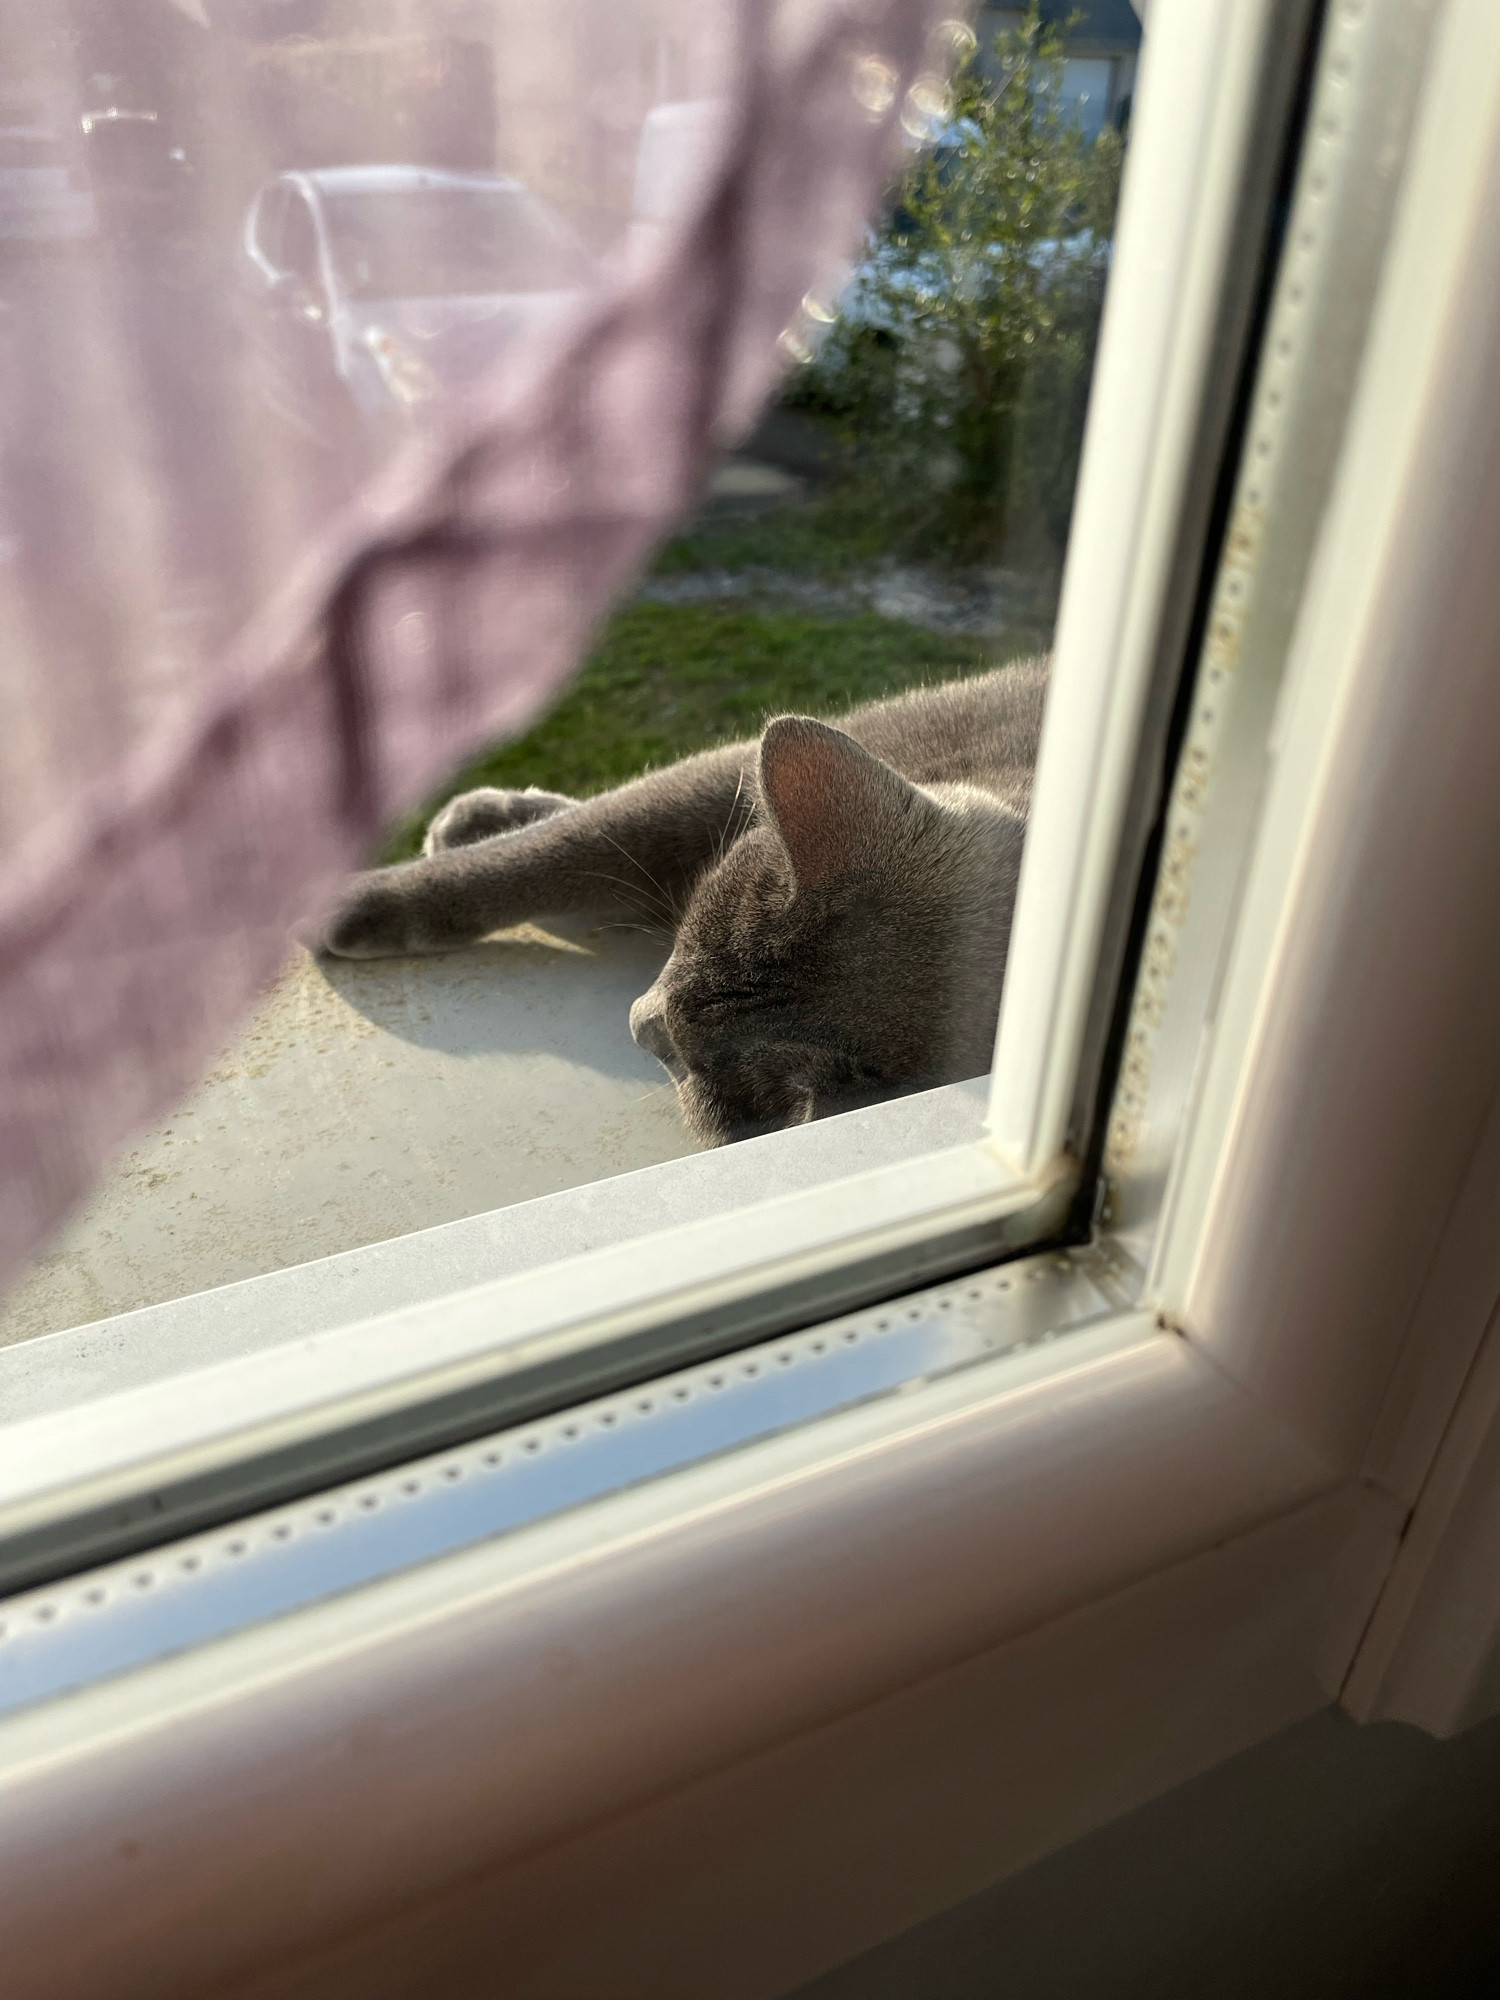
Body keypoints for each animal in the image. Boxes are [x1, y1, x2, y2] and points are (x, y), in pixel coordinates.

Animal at [320, 656, 1048, 1144]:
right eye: (693, 938)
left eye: (696, 1071)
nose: (639, 1022)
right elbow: (583, 843)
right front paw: (352, 901)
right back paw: (480, 815)